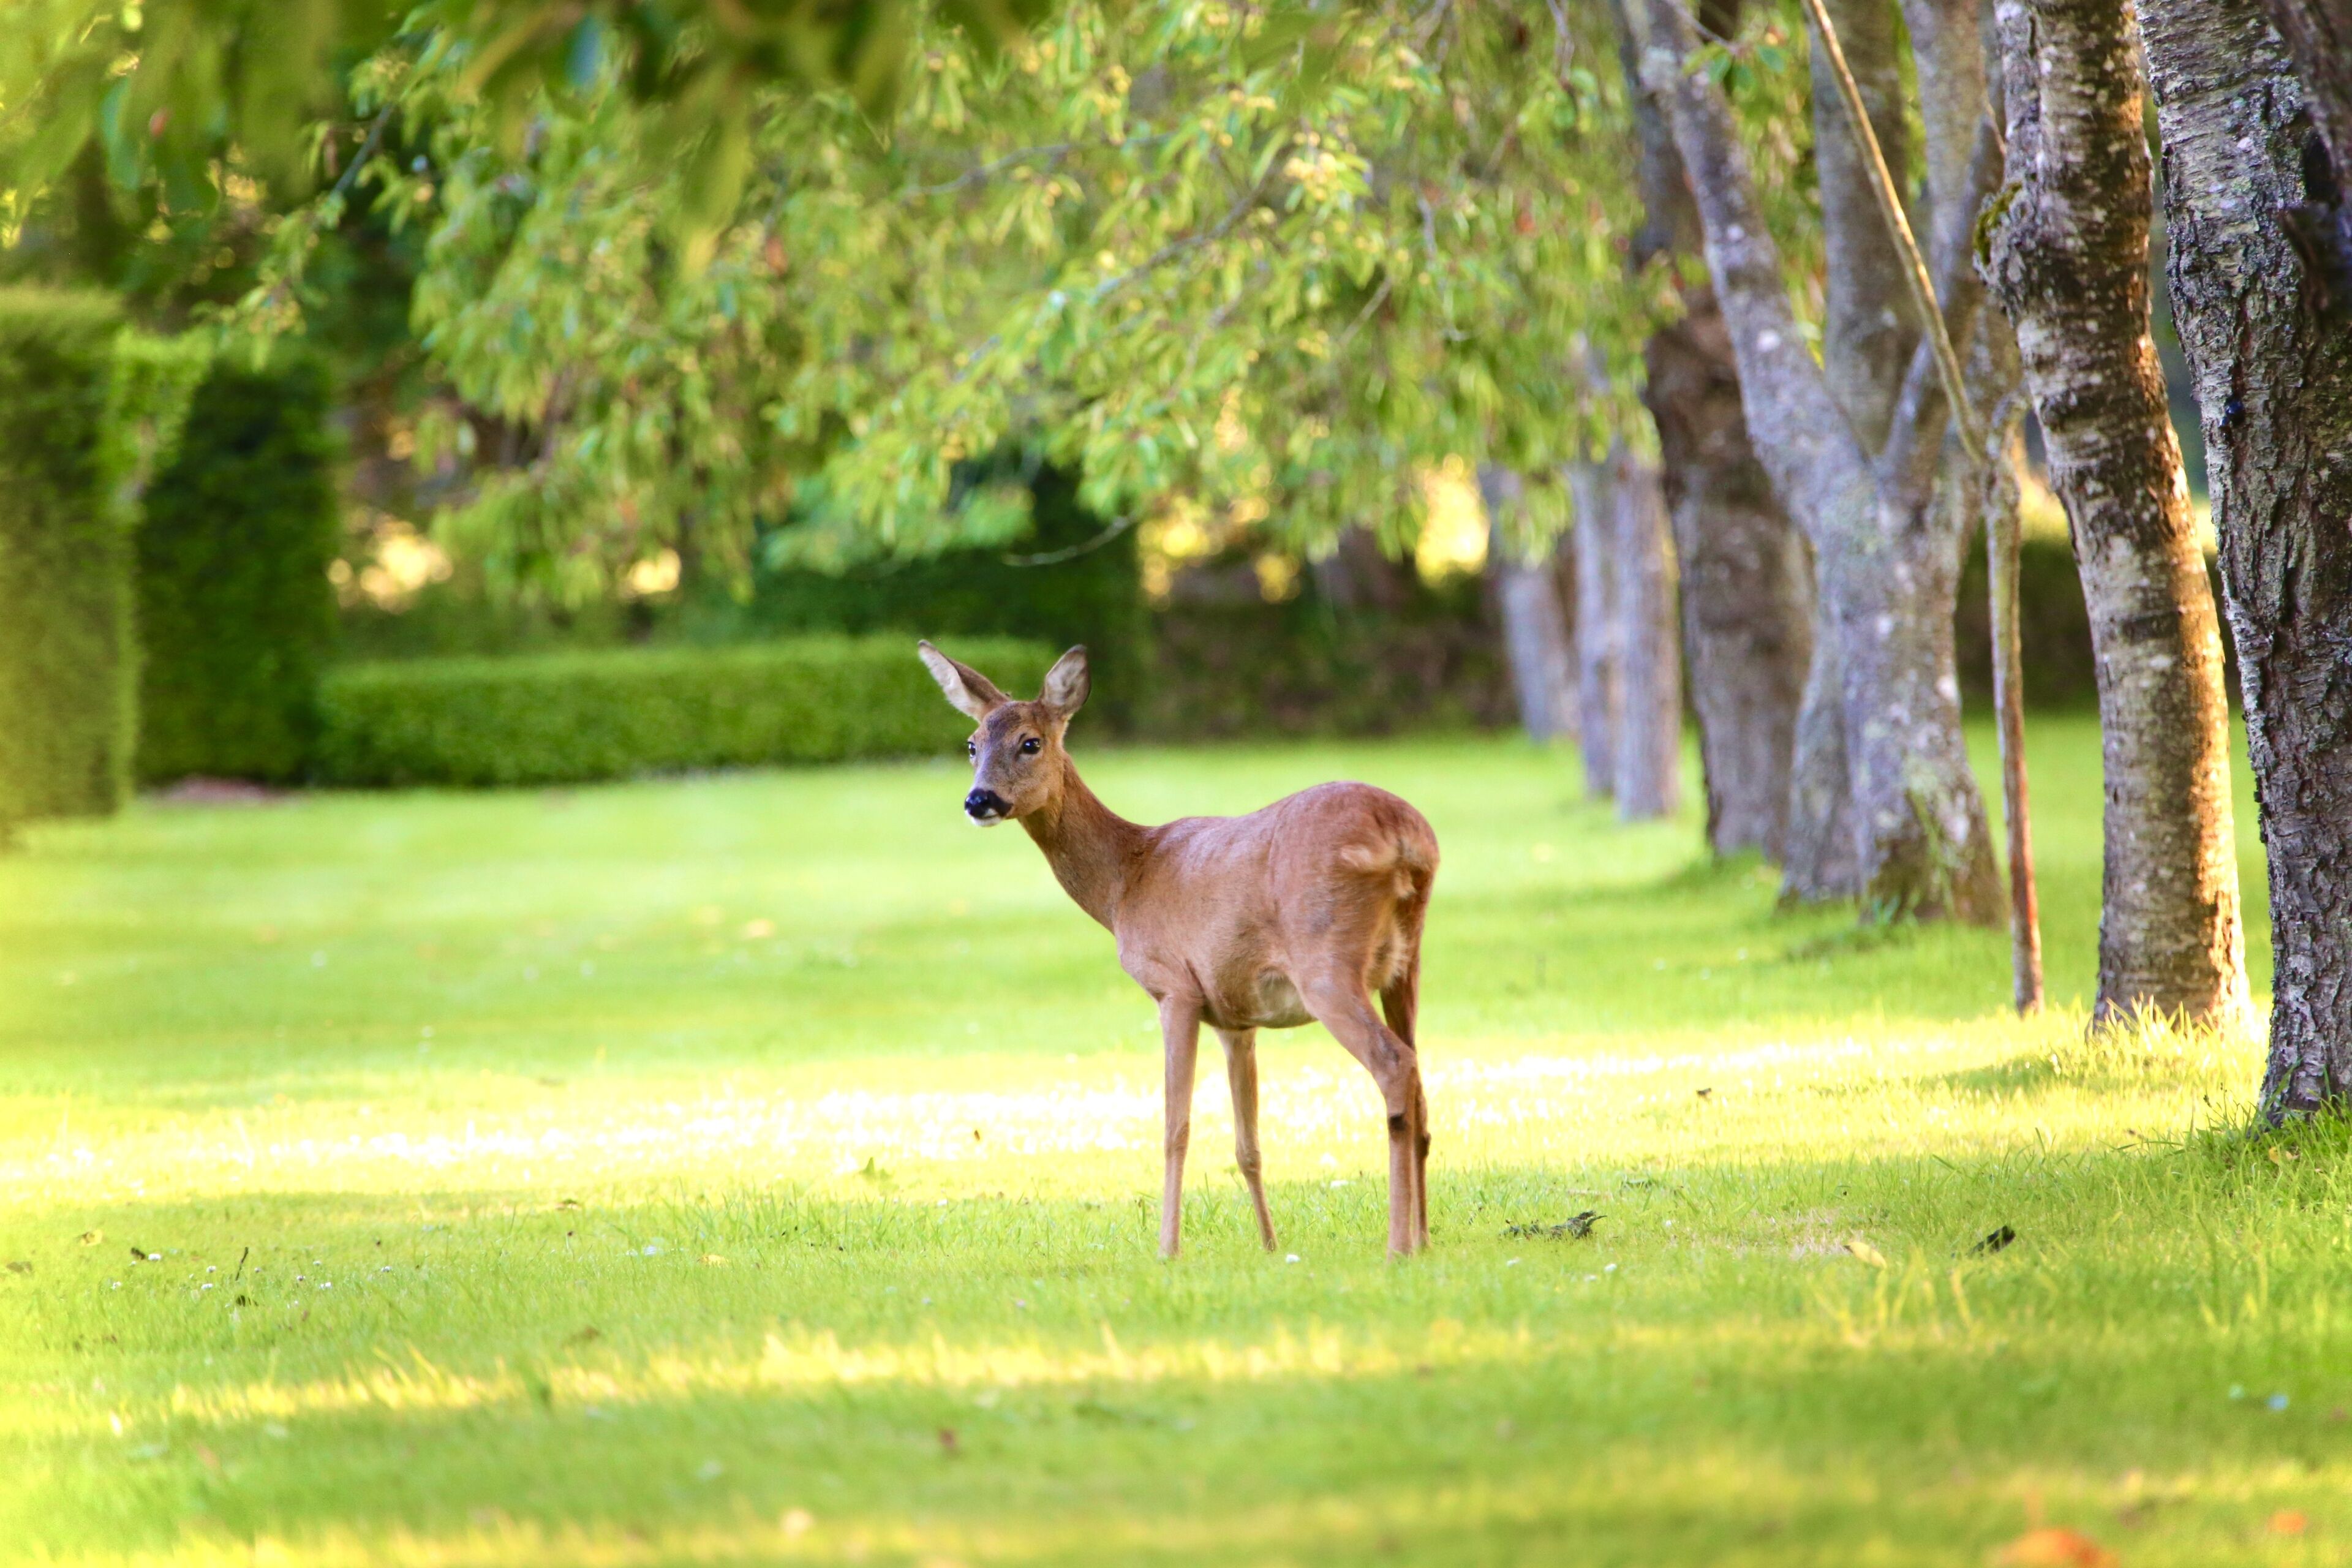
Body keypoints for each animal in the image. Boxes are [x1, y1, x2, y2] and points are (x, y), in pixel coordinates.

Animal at [918, 640, 1440, 1257]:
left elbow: (1175, 1127)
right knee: (1421, 1080)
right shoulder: (1236, 1017)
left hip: (1327, 963)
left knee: (1394, 1064)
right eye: (972, 743)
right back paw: (1424, 1238)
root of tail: (1404, 836)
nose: (980, 800)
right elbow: (1247, 1144)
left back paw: (1397, 1247)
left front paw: (1167, 1249)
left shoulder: (1174, 987)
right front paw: (1269, 1246)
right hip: (1406, 963)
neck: (1126, 881)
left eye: (1030, 742)